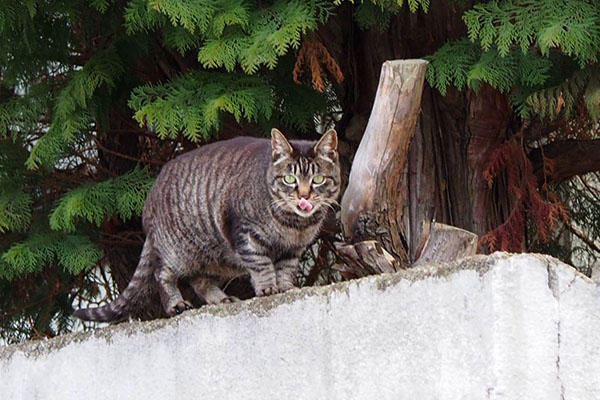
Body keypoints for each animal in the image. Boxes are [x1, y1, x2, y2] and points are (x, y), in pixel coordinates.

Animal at [72, 128, 340, 322]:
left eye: (317, 179)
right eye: (289, 179)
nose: (303, 196)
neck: (294, 225)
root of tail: (150, 199)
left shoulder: (294, 249)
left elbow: (285, 269)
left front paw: (285, 288)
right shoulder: (245, 233)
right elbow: (261, 264)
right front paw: (267, 288)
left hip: (216, 259)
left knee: (200, 281)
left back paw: (221, 299)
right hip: (178, 252)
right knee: (162, 274)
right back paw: (176, 304)